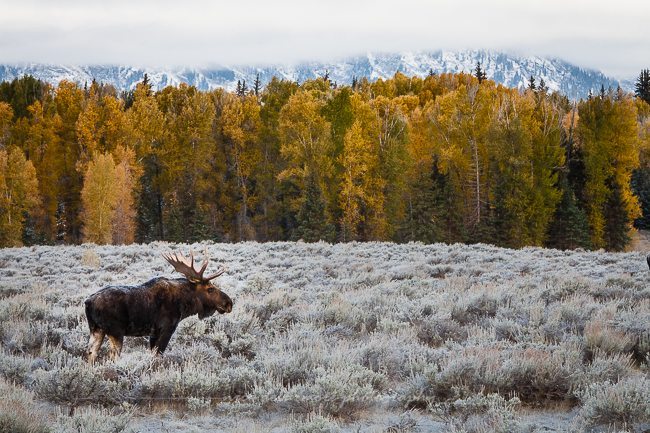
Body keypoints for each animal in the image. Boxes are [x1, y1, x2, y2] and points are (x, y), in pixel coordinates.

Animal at [83, 250, 230, 362]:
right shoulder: (166, 328)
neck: (184, 304)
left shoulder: (153, 333)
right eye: (210, 289)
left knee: (90, 353)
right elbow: (158, 355)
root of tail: (88, 302)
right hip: (115, 331)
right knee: (112, 356)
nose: (229, 303)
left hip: (96, 329)